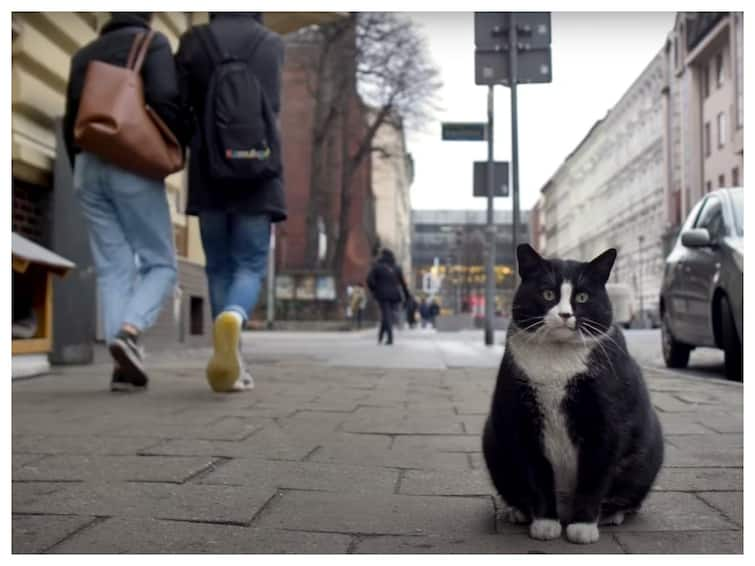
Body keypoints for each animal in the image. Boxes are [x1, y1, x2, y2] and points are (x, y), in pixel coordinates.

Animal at [482, 244, 664, 544]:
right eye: (547, 293)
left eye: (582, 296)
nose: (565, 315)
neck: (557, 361)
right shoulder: (523, 421)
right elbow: (536, 474)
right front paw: (545, 523)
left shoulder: (606, 423)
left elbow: (595, 476)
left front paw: (583, 527)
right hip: (493, 442)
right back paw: (518, 511)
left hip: (647, 456)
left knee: (629, 496)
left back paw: (611, 515)